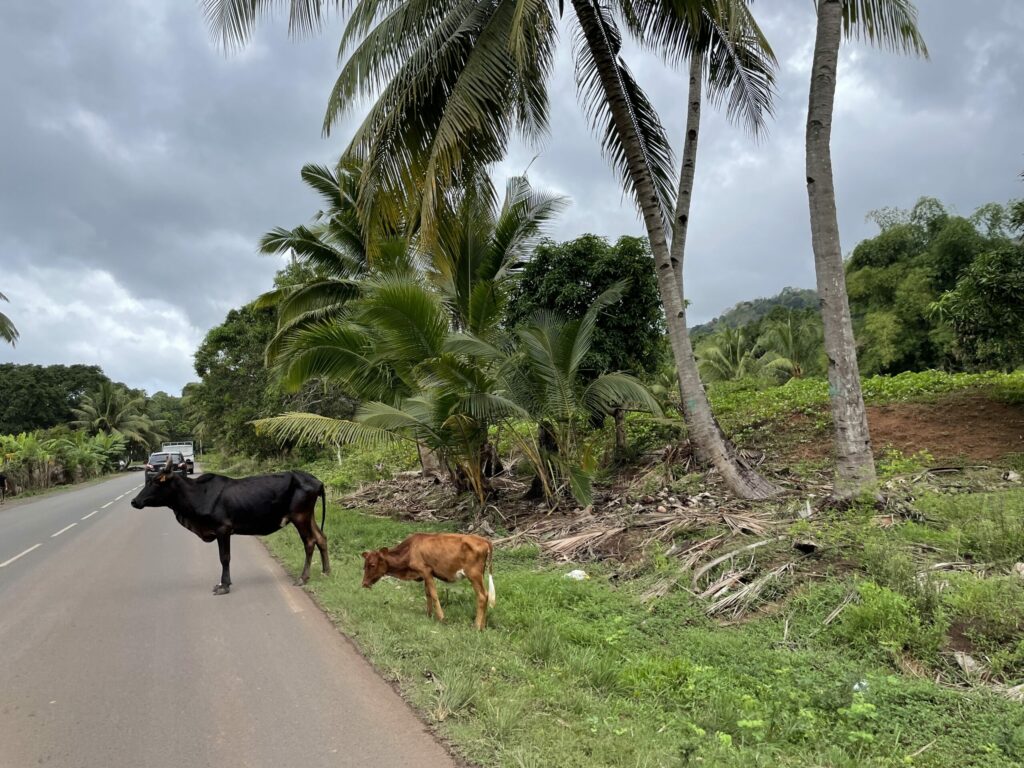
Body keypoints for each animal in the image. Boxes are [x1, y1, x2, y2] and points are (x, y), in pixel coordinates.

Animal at [130, 458, 330, 595]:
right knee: (321, 538)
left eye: (157, 481)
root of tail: (316, 481)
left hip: (300, 517)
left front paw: (224, 585)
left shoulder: (223, 530)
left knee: (310, 542)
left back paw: (303, 578)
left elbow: (224, 557)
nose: (134, 501)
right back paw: (326, 571)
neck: (198, 494)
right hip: (308, 516)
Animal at [361, 533, 495, 630]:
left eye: (372, 565)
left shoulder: (426, 571)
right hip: (480, 575)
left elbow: (434, 595)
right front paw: (428, 615)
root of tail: (484, 540)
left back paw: (476, 626)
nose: (364, 583)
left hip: (474, 574)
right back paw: (483, 626)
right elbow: (428, 594)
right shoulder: (425, 575)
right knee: (487, 595)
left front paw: (441, 618)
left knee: (482, 596)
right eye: (364, 565)